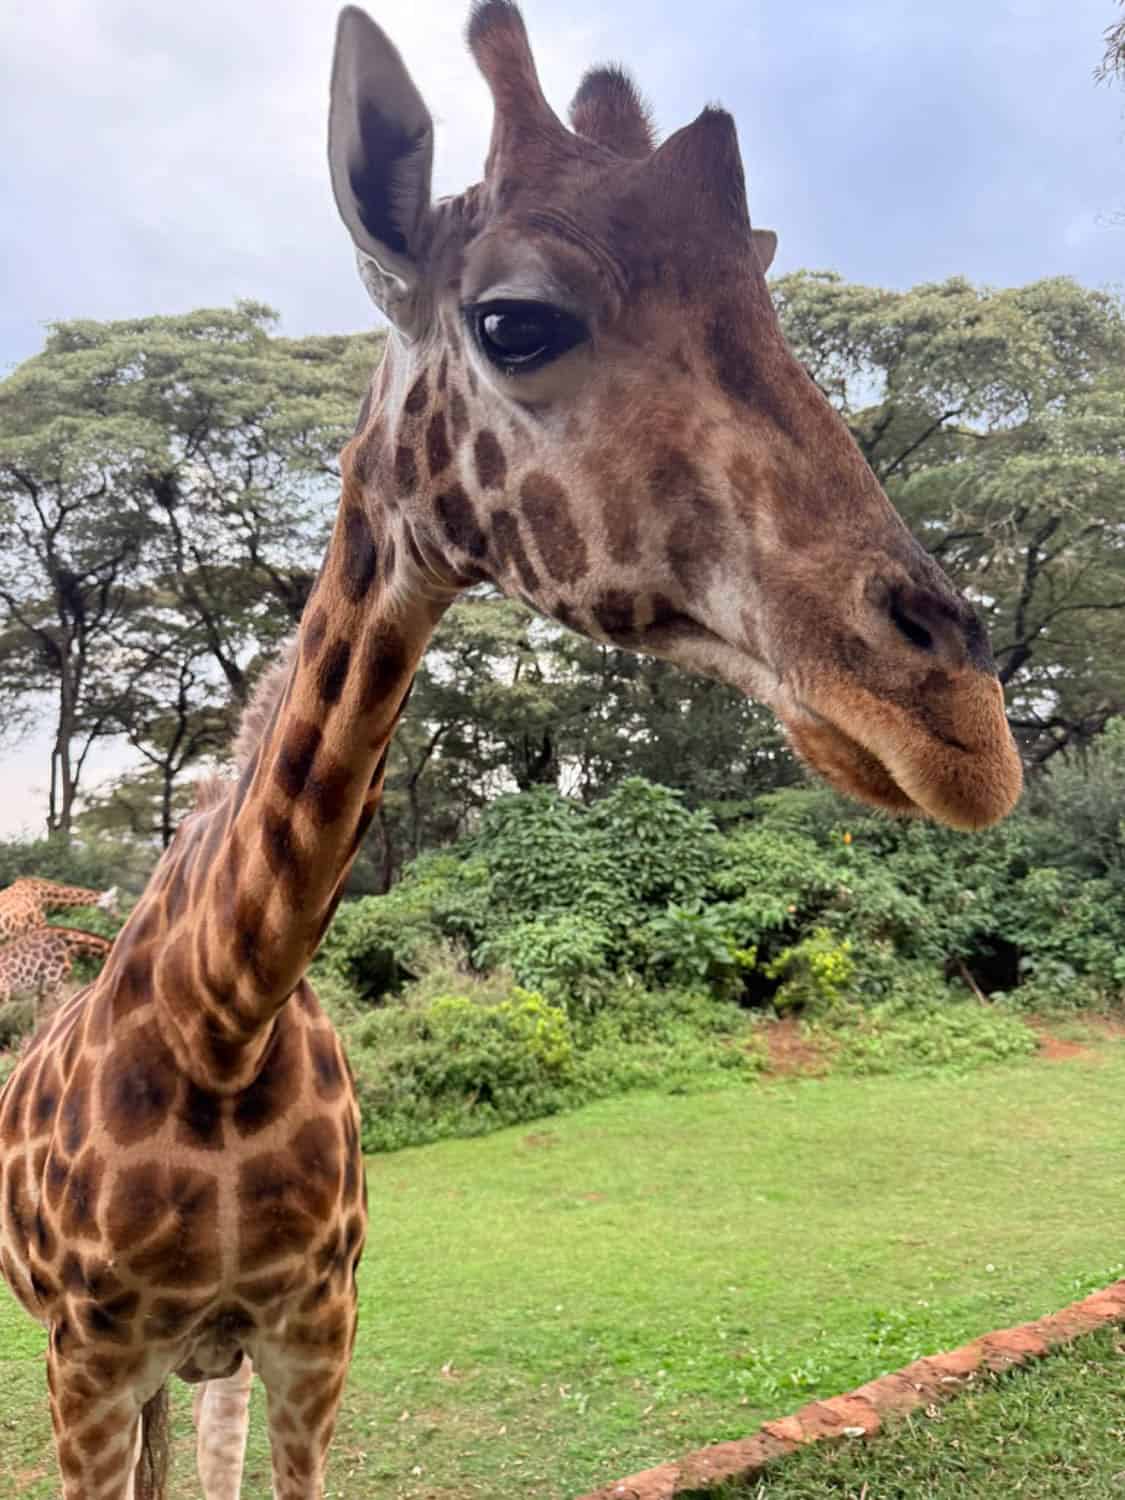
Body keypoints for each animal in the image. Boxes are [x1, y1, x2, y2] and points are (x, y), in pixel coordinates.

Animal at [0, 4, 1024, 1498]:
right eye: (516, 321)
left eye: (771, 299)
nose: (962, 725)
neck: (222, 1021)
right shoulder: (90, 1358)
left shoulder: (315, 1335)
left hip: (214, 1364)